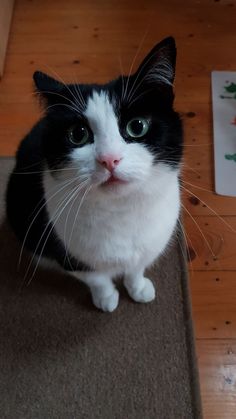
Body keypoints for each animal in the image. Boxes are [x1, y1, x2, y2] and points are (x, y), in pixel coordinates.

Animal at [6, 37, 183, 312]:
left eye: (137, 126)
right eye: (78, 134)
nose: (109, 159)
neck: (121, 211)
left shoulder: (150, 243)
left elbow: (136, 267)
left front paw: (138, 287)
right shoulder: (69, 254)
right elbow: (96, 277)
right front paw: (106, 298)